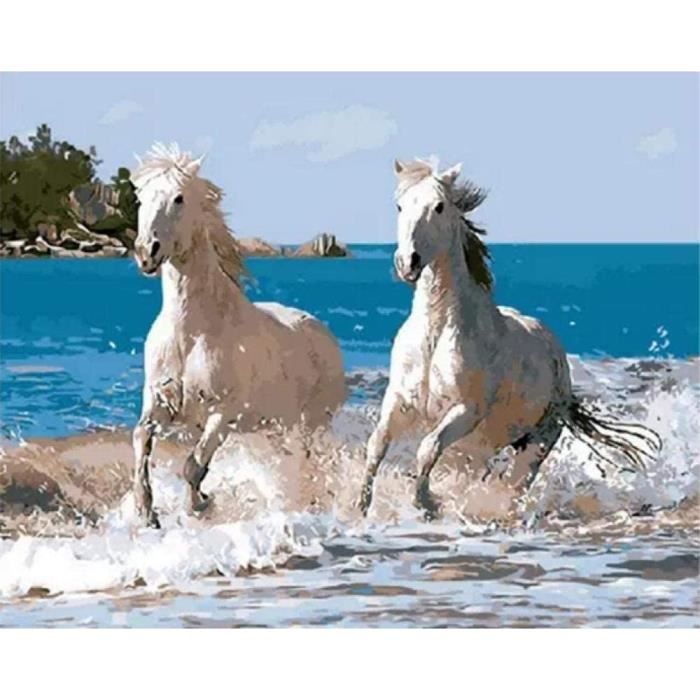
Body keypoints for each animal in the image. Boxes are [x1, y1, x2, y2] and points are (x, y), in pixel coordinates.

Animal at [130, 143, 345, 528]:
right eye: (139, 197)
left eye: (179, 198)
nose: (146, 252)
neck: (192, 332)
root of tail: (325, 334)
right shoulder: (158, 403)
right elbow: (141, 439)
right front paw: (147, 512)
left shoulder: (222, 414)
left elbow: (193, 465)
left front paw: (202, 505)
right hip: (273, 427)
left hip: (312, 424)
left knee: (309, 466)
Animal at [358, 158, 661, 519]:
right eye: (400, 206)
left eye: (439, 206)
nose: (408, 262)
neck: (436, 333)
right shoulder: (399, 401)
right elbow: (376, 444)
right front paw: (360, 505)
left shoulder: (465, 411)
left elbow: (427, 448)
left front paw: (428, 504)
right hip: (480, 448)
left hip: (535, 441)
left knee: (515, 484)